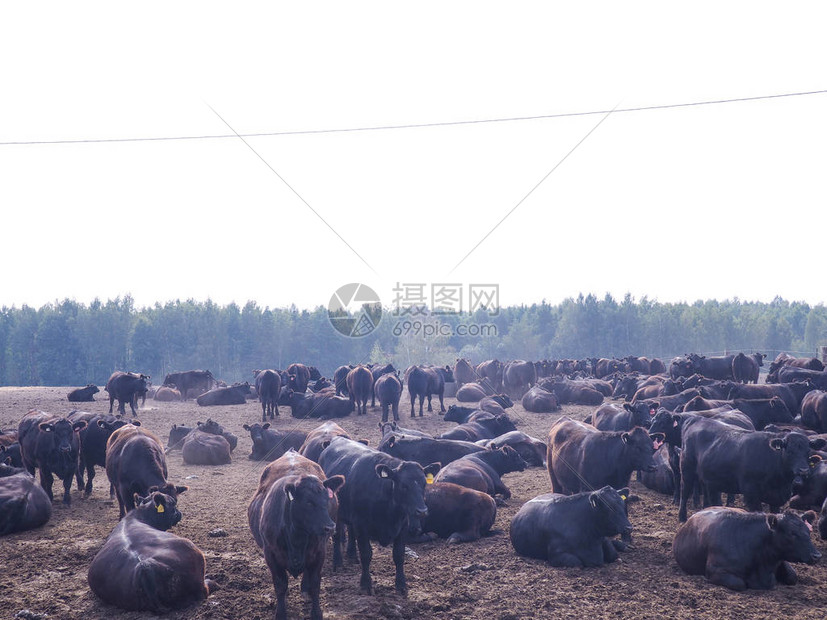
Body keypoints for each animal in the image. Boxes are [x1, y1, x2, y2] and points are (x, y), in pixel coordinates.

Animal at [249, 450, 346, 620]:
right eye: (308, 502)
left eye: (327, 500)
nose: (330, 527)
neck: (297, 536)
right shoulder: (270, 554)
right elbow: (280, 585)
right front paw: (280, 613)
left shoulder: (319, 552)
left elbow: (315, 584)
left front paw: (316, 613)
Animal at [318, 436, 440, 596]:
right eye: (404, 485)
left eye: (424, 484)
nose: (422, 511)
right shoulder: (362, 525)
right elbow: (366, 554)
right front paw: (366, 583)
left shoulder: (402, 526)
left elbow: (399, 555)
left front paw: (401, 584)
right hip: (336, 513)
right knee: (338, 535)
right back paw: (338, 562)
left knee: (350, 531)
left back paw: (352, 555)